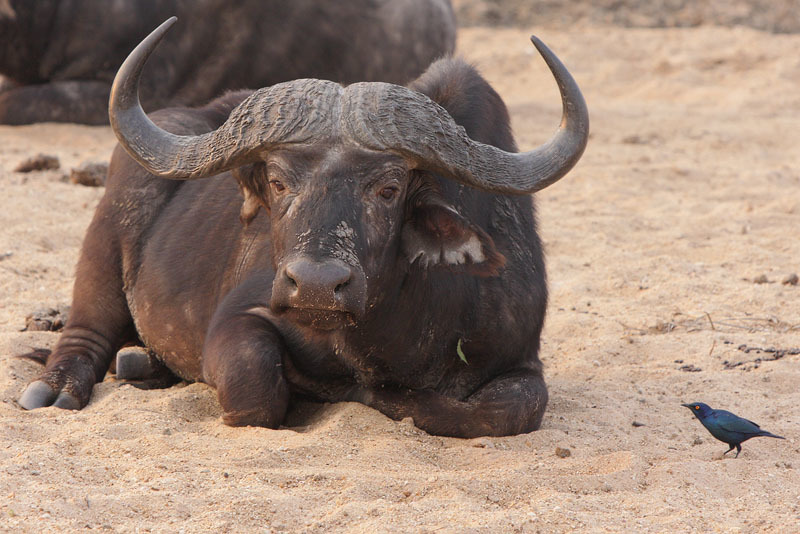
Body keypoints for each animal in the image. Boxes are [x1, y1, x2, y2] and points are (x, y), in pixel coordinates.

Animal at [18, 17, 592, 440]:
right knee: (85, 331)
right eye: (276, 181)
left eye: (389, 188)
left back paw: (139, 362)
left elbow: (497, 412)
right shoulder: (240, 317)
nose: (315, 285)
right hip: (107, 233)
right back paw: (57, 385)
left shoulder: (519, 358)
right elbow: (255, 391)